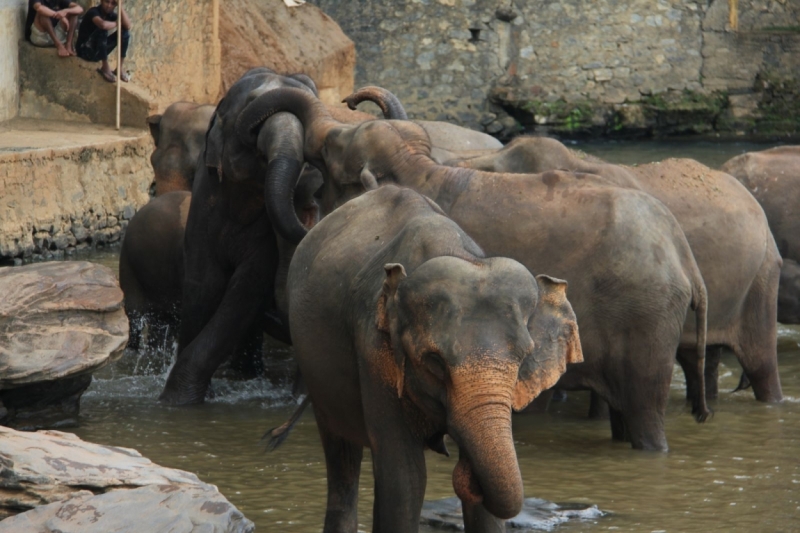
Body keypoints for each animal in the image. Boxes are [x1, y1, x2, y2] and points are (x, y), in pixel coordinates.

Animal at [234, 86, 708, 448]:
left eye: (329, 154)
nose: (351, 98)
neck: (418, 168)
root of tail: (685, 255)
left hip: (645, 319)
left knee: (644, 411)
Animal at [288, 184, 580, 532]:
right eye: (434, 362)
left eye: (524, 358)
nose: (464, 471)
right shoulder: (373, 350)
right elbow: (405, 476)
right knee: (342, 456)